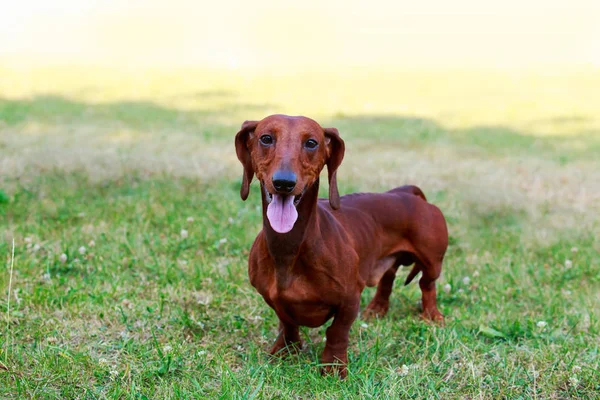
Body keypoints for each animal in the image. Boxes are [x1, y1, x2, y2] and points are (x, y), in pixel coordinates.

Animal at [234, 114, 446, 376]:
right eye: (265, 138)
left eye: (311, 143)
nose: (284, 182)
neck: (289, 250)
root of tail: (408, 193)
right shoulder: (273, 299)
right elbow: (287, 323)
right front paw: (284, 352)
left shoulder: (349, 300)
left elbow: (336, 332)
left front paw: (333, 367)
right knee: (388, 277)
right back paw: (377, 309)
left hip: (432, 262)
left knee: (427, 285)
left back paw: (431, 315)